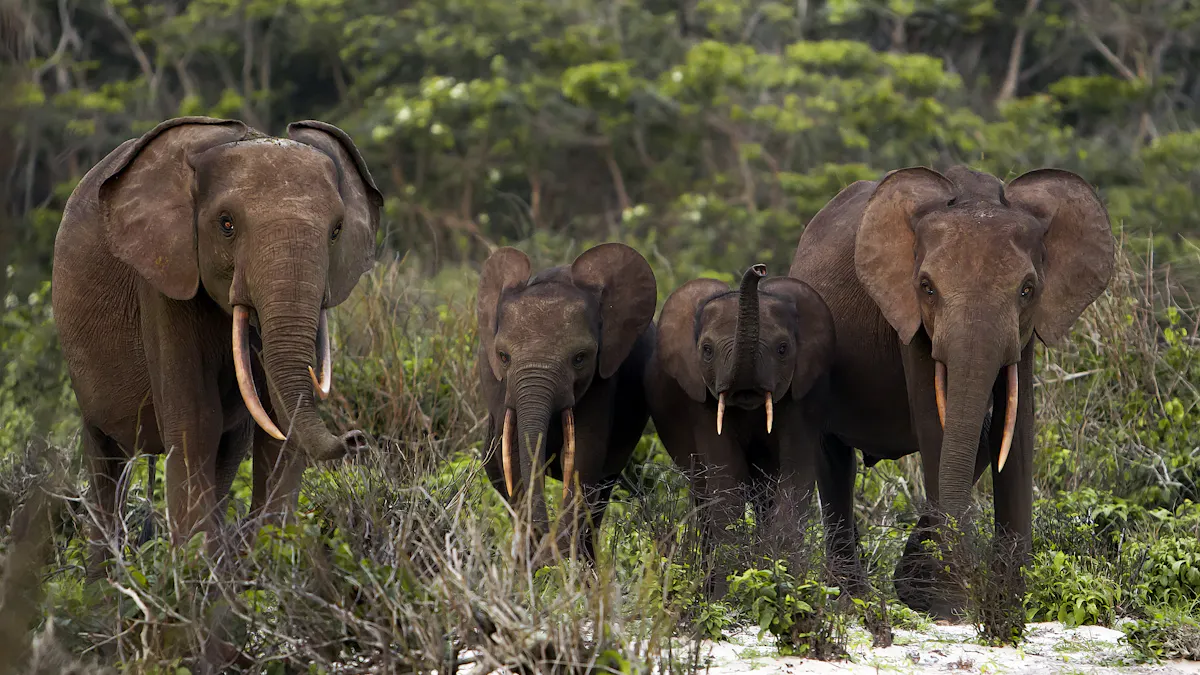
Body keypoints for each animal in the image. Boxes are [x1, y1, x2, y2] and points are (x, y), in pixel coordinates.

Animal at [52, 116, 382, 577]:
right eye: (226, 224)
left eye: (336, 230)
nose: (357, 439)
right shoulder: (164, 276)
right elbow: (196, 422)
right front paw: (193, 575)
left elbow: (276, 427)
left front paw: (267, 564)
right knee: (105, 462)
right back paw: (103, 583)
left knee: (228, 452)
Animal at [475, 243, 657, 561]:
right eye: (503, 357)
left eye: (580, 358)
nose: (543, 542)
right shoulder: (497, 383)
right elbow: (514, 456)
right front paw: (538, 562)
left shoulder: (603, 377)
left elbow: (583, 458)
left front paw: (556, 563)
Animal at [645, 263, 835, 592]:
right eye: (706, 350)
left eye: (783, 349)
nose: (759, 270)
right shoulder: (701, 400)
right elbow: (727, 478)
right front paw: (726, 590)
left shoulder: (805, 397)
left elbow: (796, 474)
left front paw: (783, 581)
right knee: (703, 495)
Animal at [789, 164, 1115, 619]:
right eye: (927, 287)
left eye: (1027, 290)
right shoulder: (908, 319)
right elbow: (937, 429)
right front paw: (948, 606)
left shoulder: (1025, 333)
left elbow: (1014, 433)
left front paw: (1007, 606)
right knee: (834, 461)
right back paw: (852, 601)